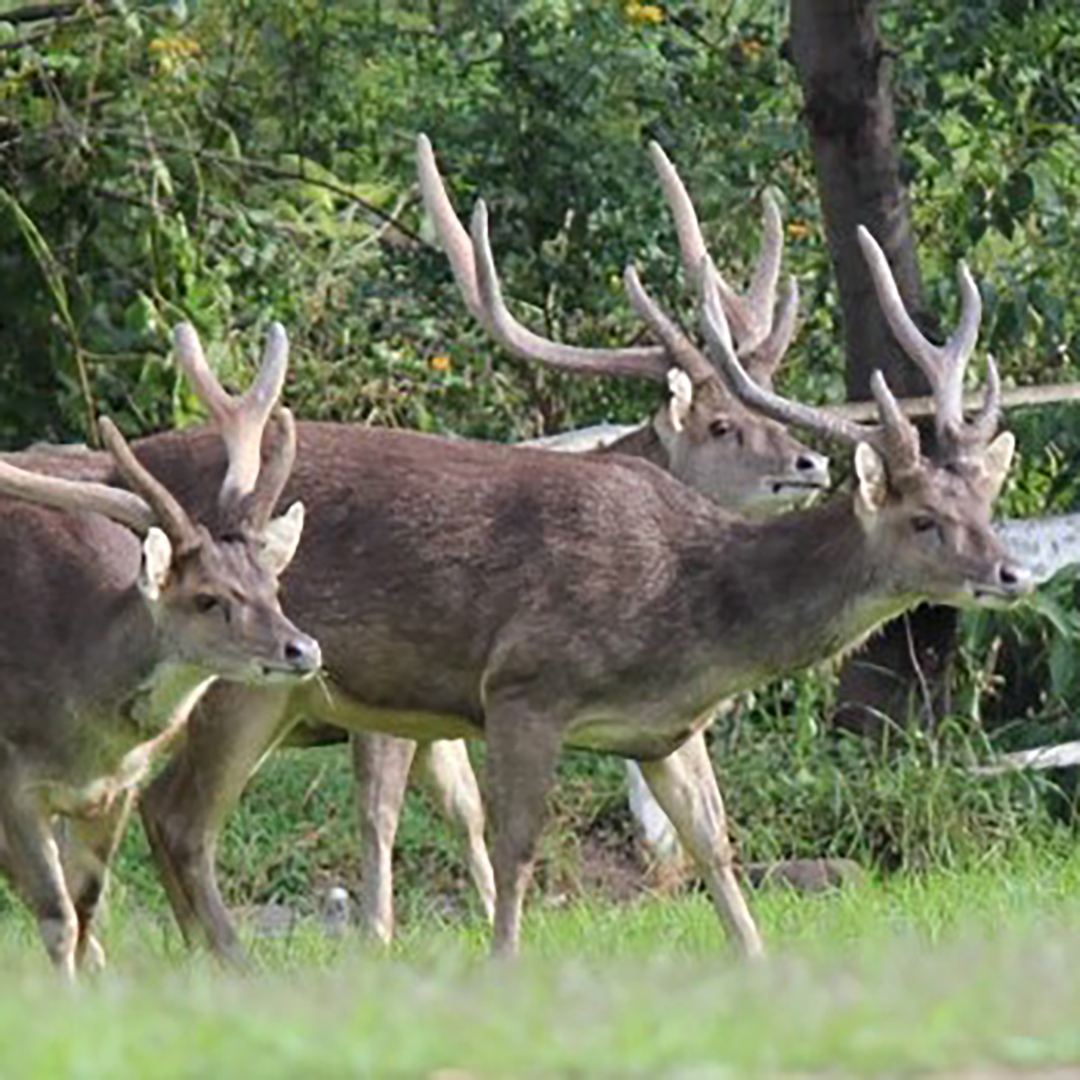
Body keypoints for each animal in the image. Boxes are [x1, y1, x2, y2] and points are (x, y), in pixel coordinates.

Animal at [0, 321, 319, 980]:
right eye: (206, 598)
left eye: (272, 586)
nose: (302, 649)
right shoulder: (10, 773)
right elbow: (56, 917)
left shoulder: (118, 787)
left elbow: (85, 906)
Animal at [122, 196, 1023, 963]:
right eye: (923, 518)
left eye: (985, 499)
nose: (1011, 572)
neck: (692, 612)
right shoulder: (525, 683)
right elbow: (517, 845)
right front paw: (503, 965)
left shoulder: (666, 730)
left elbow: (714, 845)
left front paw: (759, 964)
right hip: (239, 679)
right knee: (179, 817)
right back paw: (230, 963)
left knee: (163, 813)